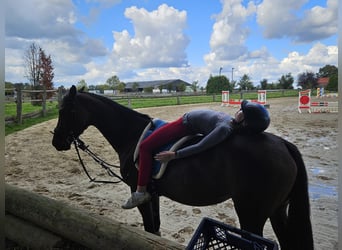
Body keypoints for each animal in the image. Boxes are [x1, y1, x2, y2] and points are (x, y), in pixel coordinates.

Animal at [51, 85, 312, 248]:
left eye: (66, 111)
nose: (57, 141)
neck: (131, 135)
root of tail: (283, 143)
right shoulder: (152, 194)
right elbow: (154, 229)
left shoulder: (138, 190)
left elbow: (148, 227)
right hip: (277, 210)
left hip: (252, 214)